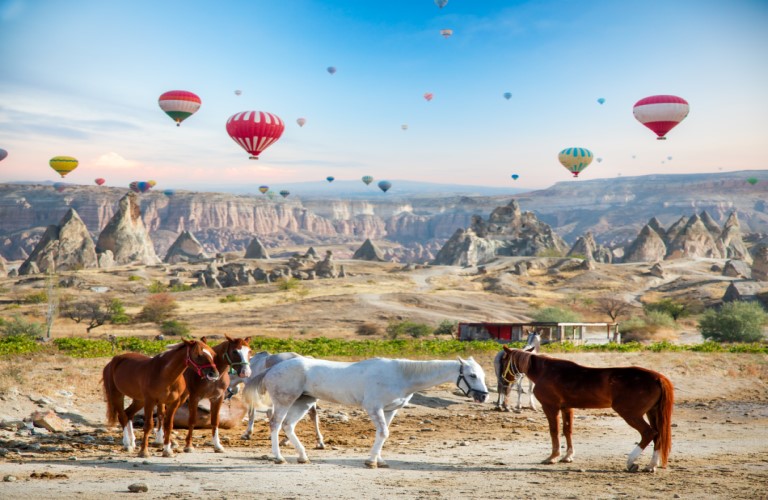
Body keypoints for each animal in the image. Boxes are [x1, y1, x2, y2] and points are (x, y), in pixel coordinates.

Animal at [250, 358, 486, 466]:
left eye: (482, 374)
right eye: (472, 375)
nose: (483, 397)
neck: (401, 376)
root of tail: (272, 368)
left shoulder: (389, 411)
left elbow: (383, 434)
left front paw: (379, 460)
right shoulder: (374, 408)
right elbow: (383, 433)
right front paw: (372, 461)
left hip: (304, 403)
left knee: (288, 426)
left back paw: (302, 456)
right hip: (285, 401)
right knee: (276, 424)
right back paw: (279, 457)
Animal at [498, 348, 672, 472]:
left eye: (503, 360)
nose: (503, 381)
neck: (545, 371)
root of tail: (658, 378)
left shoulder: (551, 407)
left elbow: (554, 431)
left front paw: (553, 457)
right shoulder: (566, 408)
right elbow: (567, 430)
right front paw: (568, 456)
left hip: (631, 414)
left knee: (648, 433)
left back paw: (631, 462)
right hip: (652, 413)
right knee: (658, 435)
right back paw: (651, 465)